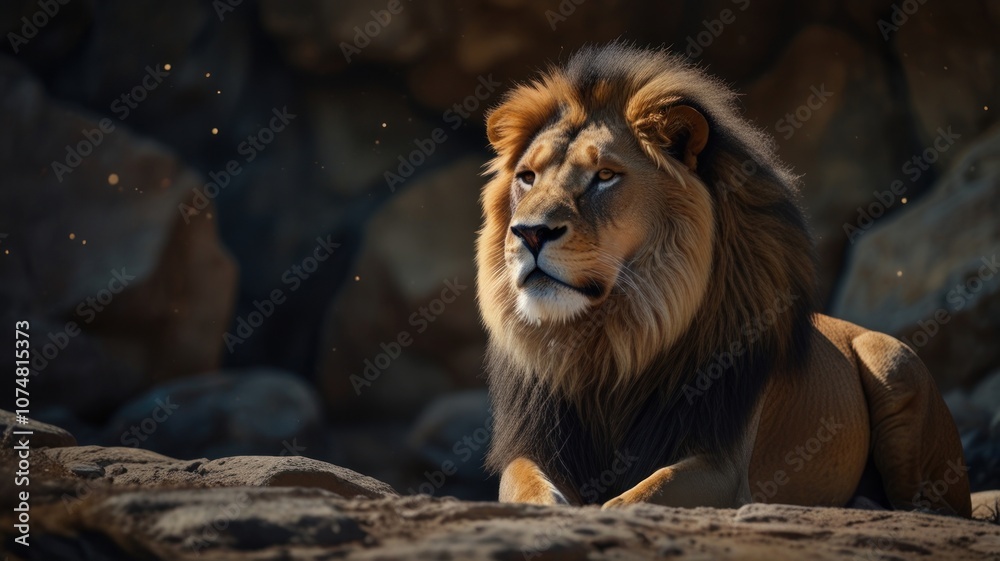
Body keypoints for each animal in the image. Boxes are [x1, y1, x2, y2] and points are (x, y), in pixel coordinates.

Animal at [475, 43, 972, 516]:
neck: (610, 342)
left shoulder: (724, 470)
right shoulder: (533, 448)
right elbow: (528, 489)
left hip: (892, 362)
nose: (530, 232)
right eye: (527, 177)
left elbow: (637, 497)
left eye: (605, 176)